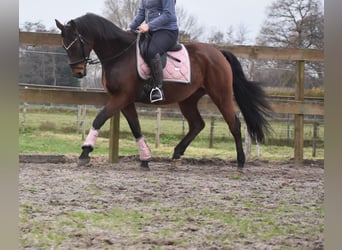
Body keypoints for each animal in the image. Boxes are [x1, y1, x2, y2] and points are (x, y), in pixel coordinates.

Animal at [54, 13, 272, 170]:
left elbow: (99, 118)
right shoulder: (125, 100)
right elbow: (135, 127)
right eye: (65, 46)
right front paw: (145, 158)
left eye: (76, 43)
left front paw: (85, 152)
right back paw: (176, 156)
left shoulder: (121, 97)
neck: (120, 54)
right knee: (197, 124)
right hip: (188, 99)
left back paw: (241, 162)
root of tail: (218, 53)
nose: (78, 72)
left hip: (221, 94)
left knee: (234, 123)